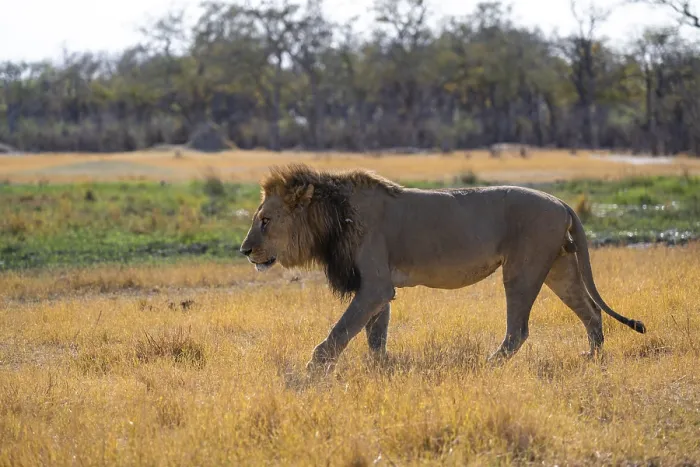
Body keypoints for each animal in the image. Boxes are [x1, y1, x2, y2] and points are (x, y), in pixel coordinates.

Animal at [240, 163, 646, 371]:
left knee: (519, 330)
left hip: (522, 270)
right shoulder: (379, 288)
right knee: (591, 310)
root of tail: (562, 202)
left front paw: (314, 369)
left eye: (265, 221)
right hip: (559, 268)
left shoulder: (374, 284)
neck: (333, 217)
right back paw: (593, 357)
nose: (244, 250)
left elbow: (342, 330)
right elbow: (374, 335)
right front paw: (382, 369)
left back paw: (489, 364)